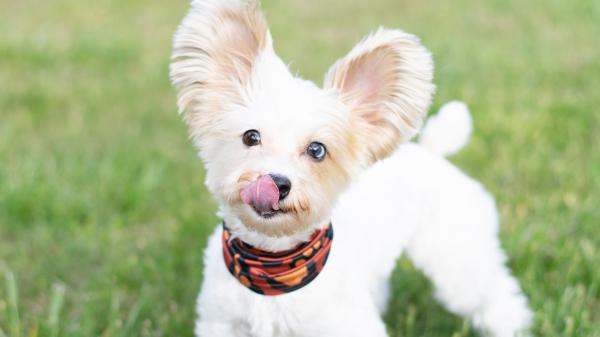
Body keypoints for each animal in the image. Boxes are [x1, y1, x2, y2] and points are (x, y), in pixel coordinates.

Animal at [171, 0, 532, 336]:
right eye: (250, 136)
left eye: (317, 150)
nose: (275, 182)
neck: (273, 272)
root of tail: (431, 151)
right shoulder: (220, 323)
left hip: (456, 254)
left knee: (493, 294)